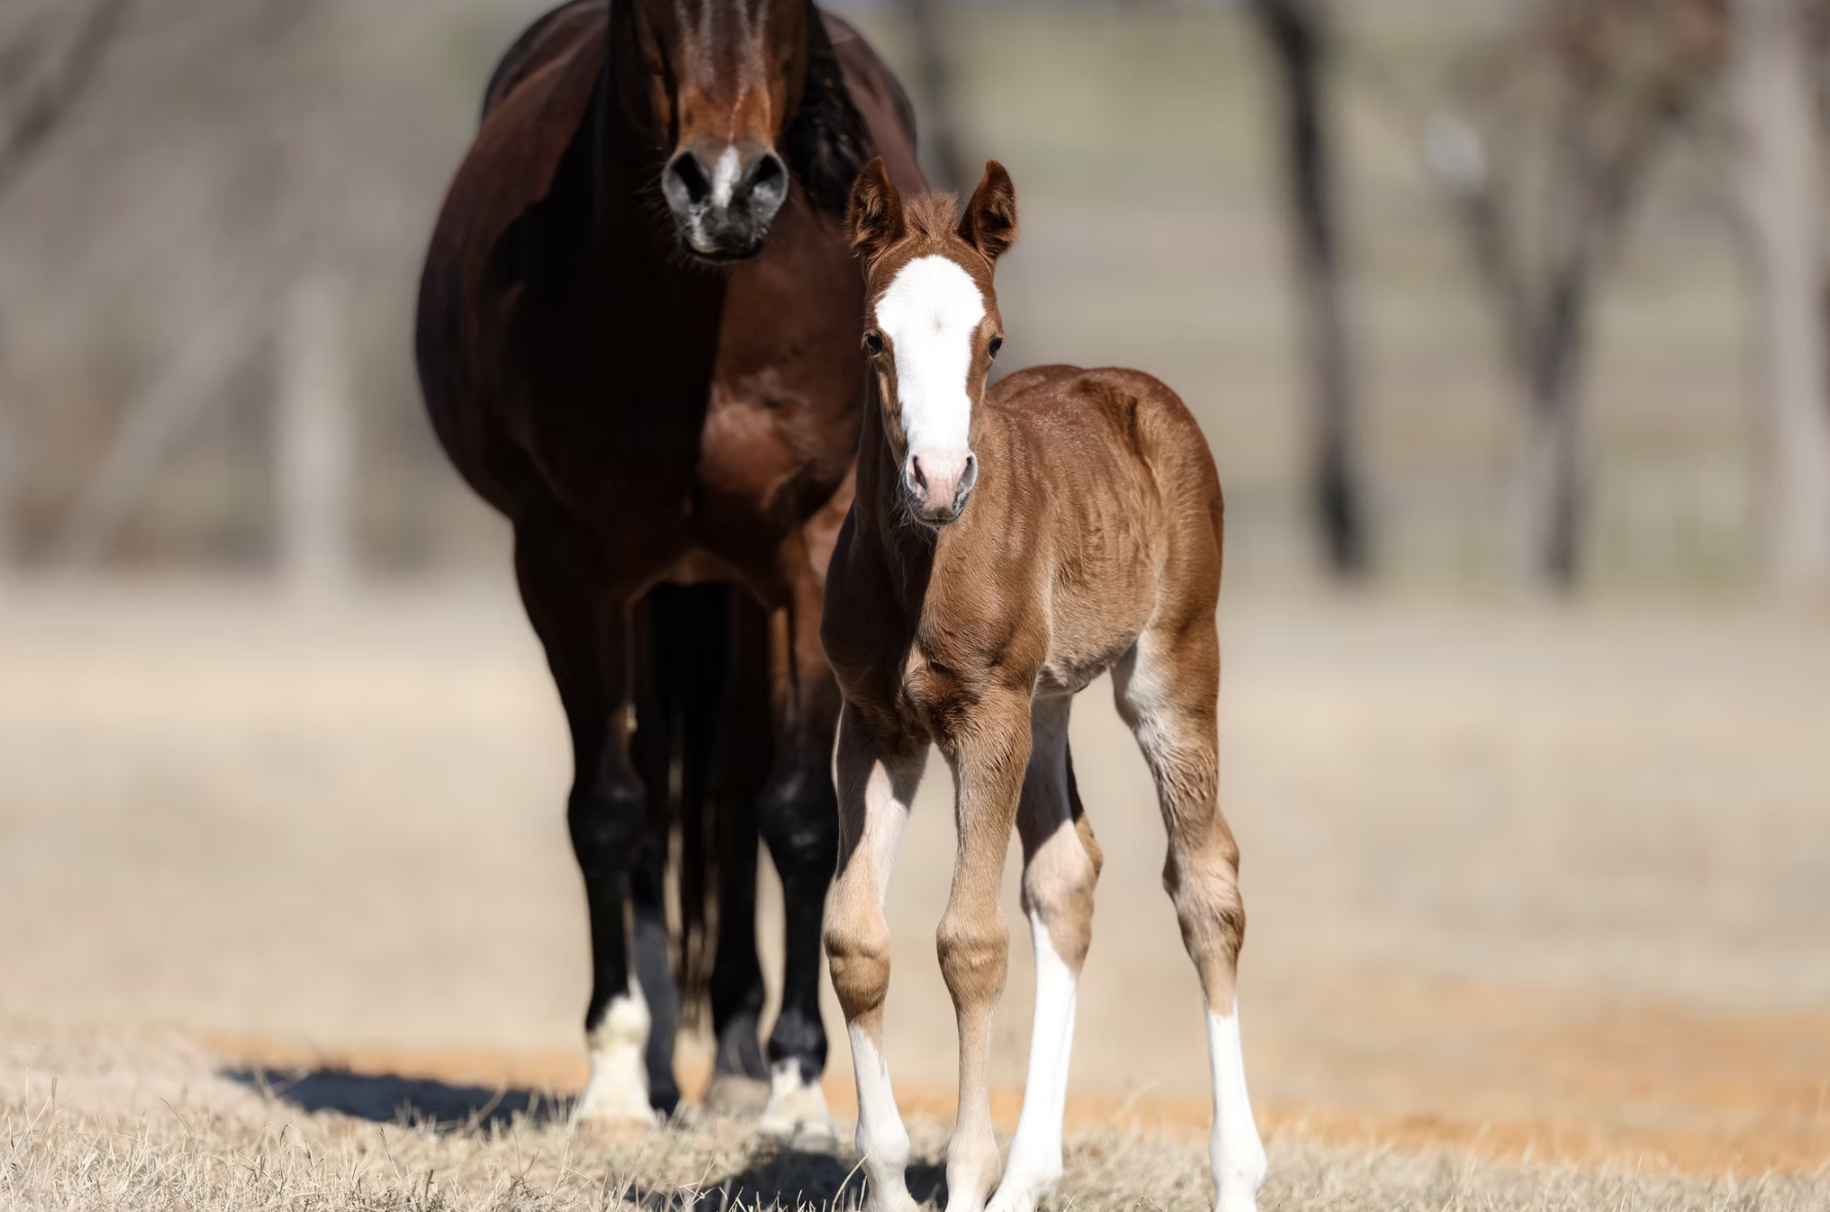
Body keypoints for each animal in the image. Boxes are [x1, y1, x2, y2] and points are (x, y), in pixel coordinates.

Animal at [413, 0, 923, 1142]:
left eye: (787, 9)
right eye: (645, 6)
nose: (726, 188)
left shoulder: (815, 558)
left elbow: (801, 816)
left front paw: (796, 1084)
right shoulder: (571, 568)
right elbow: (609, 811)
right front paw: (612, 1078)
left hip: (733, 593)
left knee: (733, 792)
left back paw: (737, 1062)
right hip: (663, 592)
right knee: (659, 797)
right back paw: (655, 1069)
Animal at [818, 158, 1268, 1212]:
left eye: (992, 340)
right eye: (873, 338)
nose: (939, 479)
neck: (920, 562)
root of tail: (1139, 392)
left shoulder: (986, 716)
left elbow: (969, 943)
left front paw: (968, 1171)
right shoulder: (875, 725)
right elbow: (855, 938)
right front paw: (898, 1176)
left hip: (1169, 668)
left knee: (1207, 888)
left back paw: (1235, 1172)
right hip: (1049, 702)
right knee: (1067, 877)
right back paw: (1032, 1174)